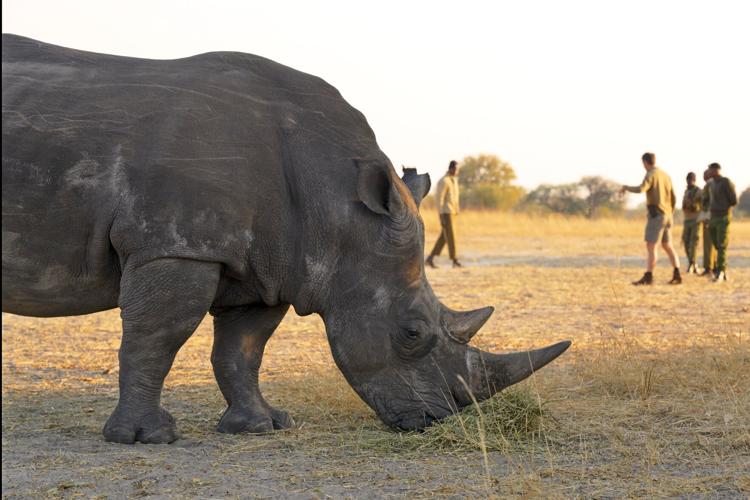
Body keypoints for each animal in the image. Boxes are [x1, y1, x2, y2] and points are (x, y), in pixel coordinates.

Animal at [2, 34, 570, 444]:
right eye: (412, 334)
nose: (435, 421)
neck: (337, 205)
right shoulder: (177, 245)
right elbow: (155, 338)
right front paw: (145, 438)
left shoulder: (267, 264)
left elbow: (242, 349)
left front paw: (262, 426)